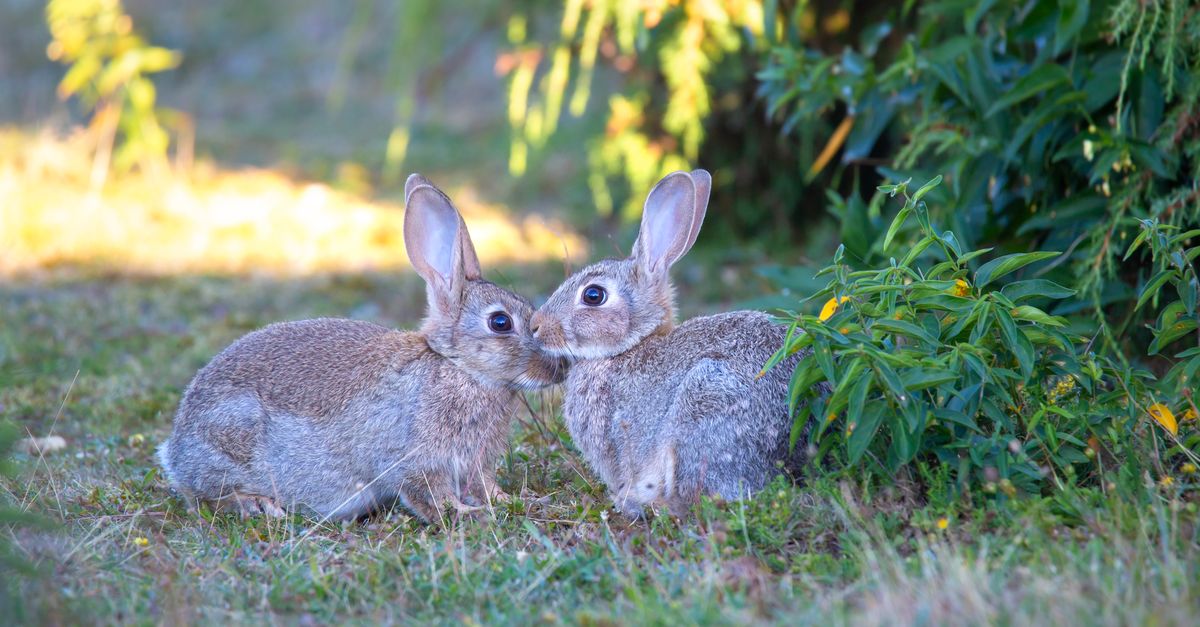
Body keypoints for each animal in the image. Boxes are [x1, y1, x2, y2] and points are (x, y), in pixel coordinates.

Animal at [157, 174, 567, 522]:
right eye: (500, 323)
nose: (559, 368)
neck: (458, 368)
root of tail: (175, 451)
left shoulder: (474, 465)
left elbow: (484, 486)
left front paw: (516, 500)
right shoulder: (414, 458)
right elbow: (429, 494)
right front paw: (466, 514)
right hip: (232, 432)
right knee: (208, 497)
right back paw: (259, 504)